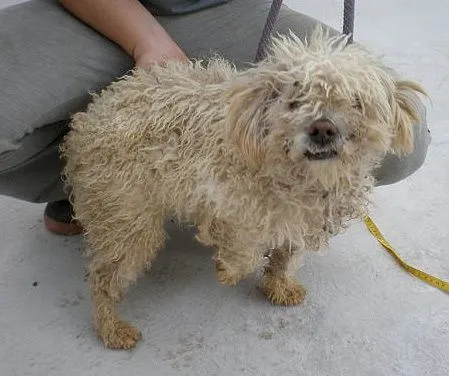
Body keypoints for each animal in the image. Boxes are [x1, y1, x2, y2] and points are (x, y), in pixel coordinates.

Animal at [59, 27, 424, 350]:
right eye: (295, 101)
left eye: (355, 101)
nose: (322, 128)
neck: (302, 178)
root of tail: (90, 116)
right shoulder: (225, 201)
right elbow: (245, 251)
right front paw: (229, 270)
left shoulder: (297, 221)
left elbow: (285, 256)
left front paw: (278, 286)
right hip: (129, 221)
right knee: (102, 278)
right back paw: (111, 328)